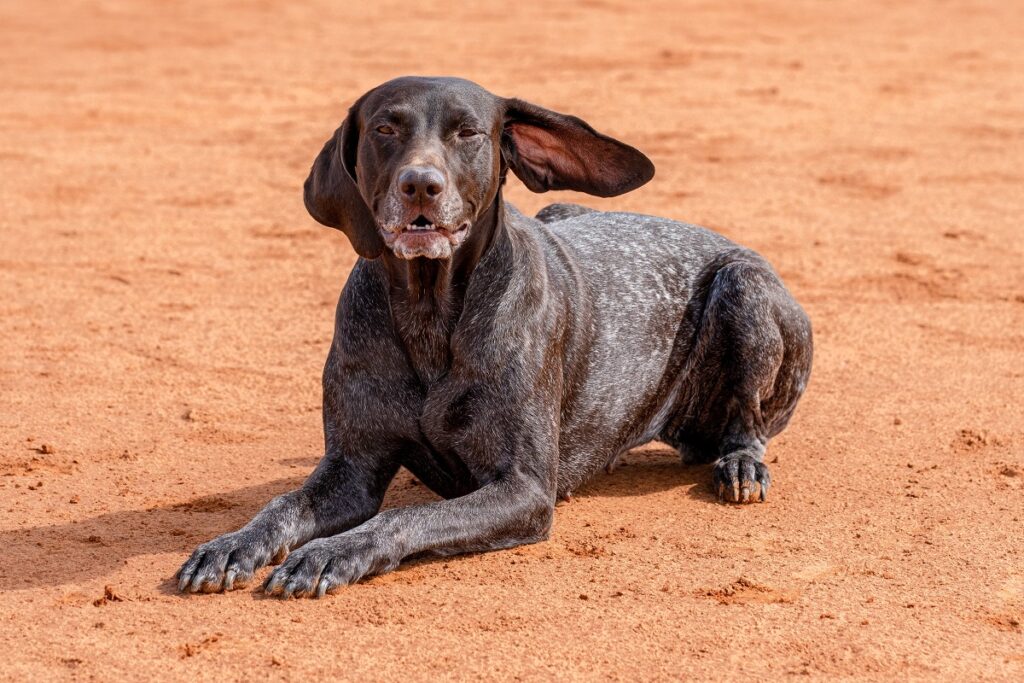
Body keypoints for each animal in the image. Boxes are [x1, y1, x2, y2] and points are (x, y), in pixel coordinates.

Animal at [176, 76, 815, 598]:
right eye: (385, 129)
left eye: (468, 133)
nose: (420, 186)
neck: (430, 314)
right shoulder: (351, 470)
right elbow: (281, 505)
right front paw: (232, 544)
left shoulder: (523, 489)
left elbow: (401, 518)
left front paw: (330, 553)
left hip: (745, 287)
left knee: (748, 425)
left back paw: (741, 465)